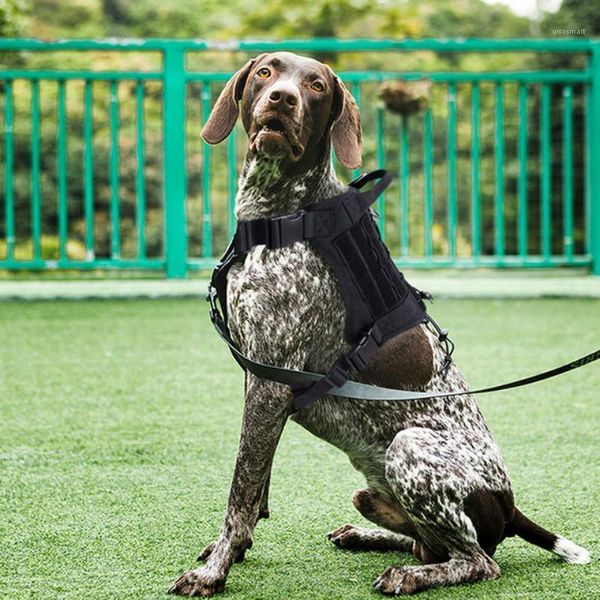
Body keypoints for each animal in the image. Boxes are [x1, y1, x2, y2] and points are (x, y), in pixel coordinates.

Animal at [169, 51, 592, 596]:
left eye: (316, 86)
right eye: (267, 72)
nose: (283, 98)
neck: (281, 215)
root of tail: (510, 505)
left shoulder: (269, 382)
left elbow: (240, 491)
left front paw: (213, 571)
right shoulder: (259, 378)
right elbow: (256, 484)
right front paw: (233, 551)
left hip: (409, 448)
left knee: (476, 560)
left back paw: (408, 576)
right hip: (371, 492)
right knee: (425, 542)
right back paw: (368, 538)